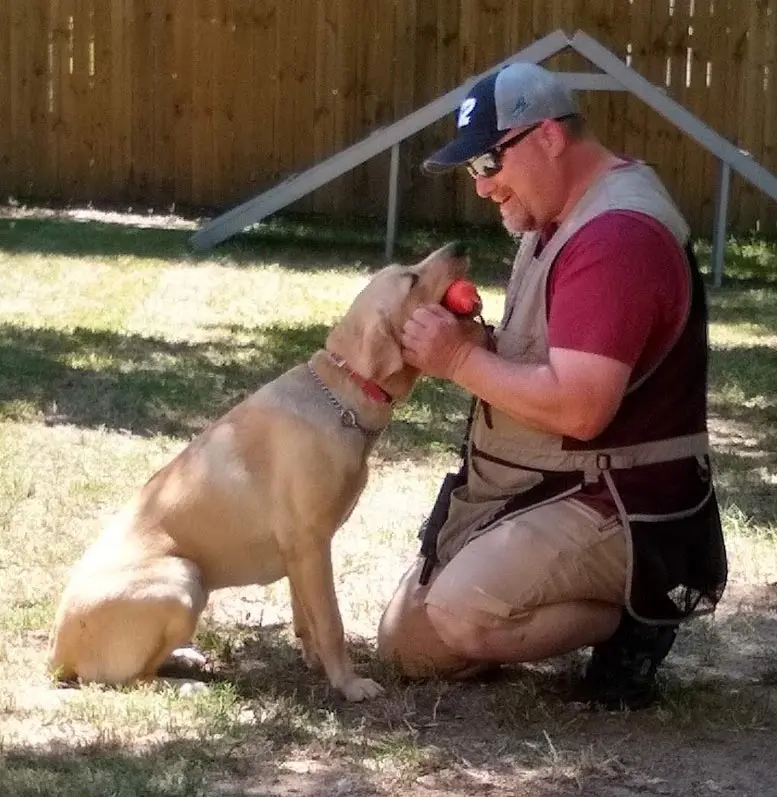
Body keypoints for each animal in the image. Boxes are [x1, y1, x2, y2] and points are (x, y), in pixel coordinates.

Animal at [51, 241, 470, 696]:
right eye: (411, 278)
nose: (458, 246)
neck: (340, 395)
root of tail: (57, 655)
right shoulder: (311, 544)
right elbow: (331, 623)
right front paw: (349, 685)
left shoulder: (301, 553)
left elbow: (306, 617)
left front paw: (316, 664)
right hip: (184, 578)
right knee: (134, 680)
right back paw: (187, 682)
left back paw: (184, 655)